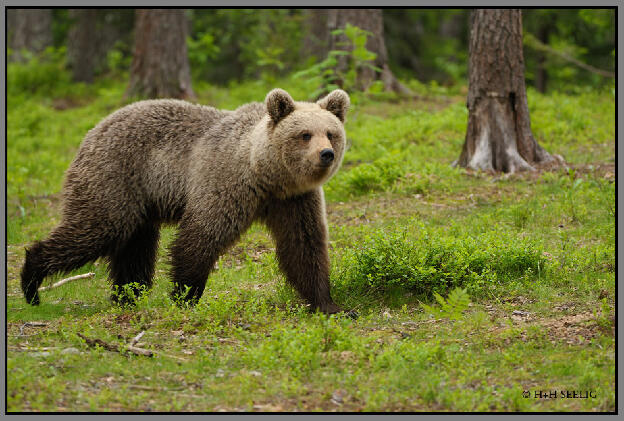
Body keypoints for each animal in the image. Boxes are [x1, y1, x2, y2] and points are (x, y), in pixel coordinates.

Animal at [19, 88, 352, 314]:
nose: (326, 154)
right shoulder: (225, 183)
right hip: (115, 177)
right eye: (304, 134)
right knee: (95, 229)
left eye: (331, 133)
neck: (265, 174)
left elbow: (304, 246)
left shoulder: (295, 200)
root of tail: (95, 128)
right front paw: (185, 295)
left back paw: (128, 295)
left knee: (134, 249)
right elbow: (200, 237)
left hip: (140, 203)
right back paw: (31, 282)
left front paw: (330, 304)